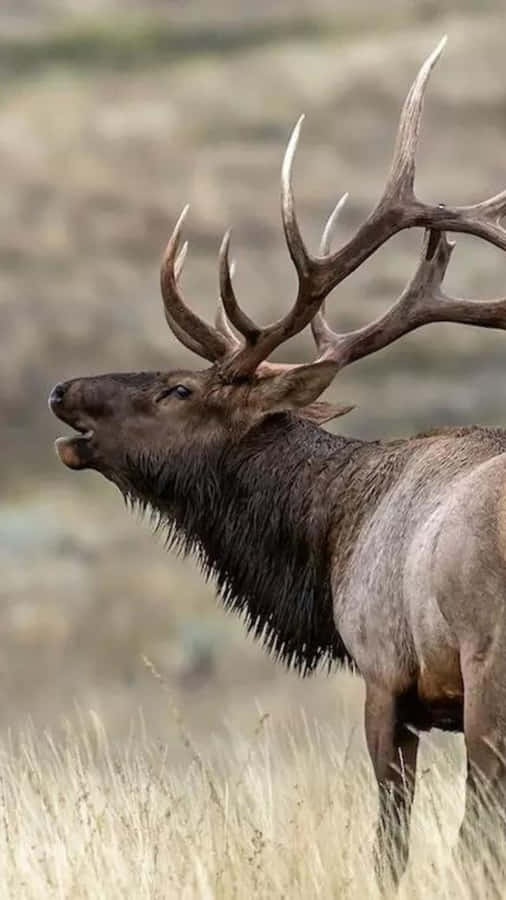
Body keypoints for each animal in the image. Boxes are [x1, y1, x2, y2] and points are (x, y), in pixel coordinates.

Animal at [49, 37, 506, 884]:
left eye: (179, 388)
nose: (62, 390)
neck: (331, 536)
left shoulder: (387, 672)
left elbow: (392, 846)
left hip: (490, 663)